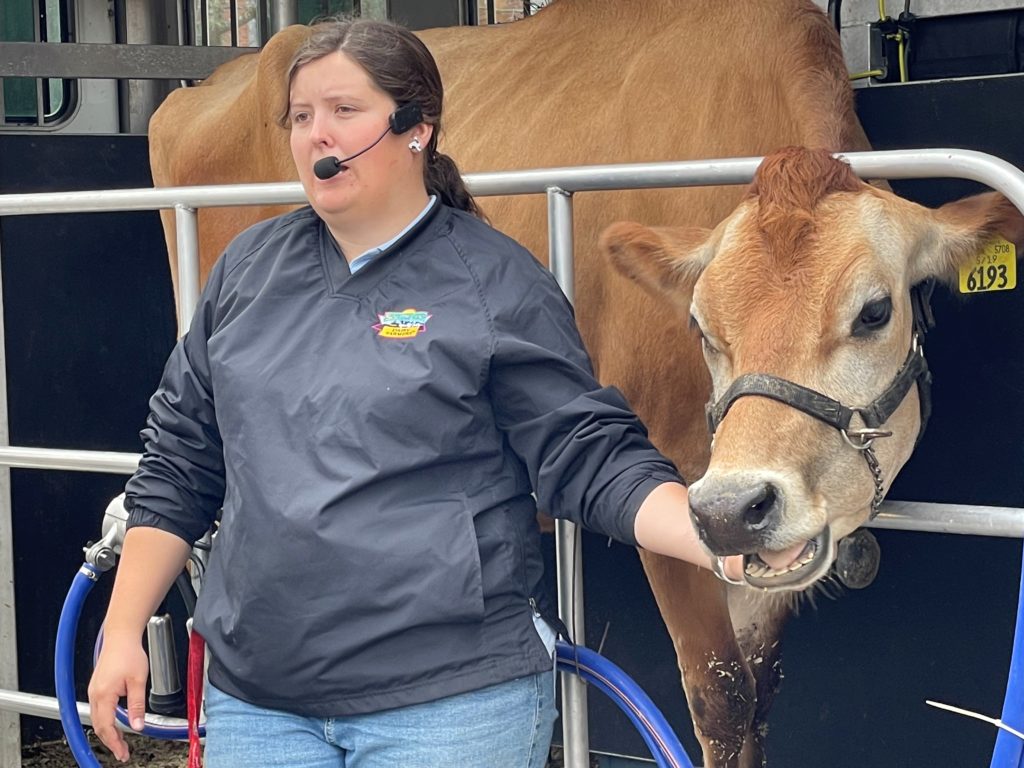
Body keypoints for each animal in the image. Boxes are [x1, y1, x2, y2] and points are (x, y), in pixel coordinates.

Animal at [146, 3, 1024, 765]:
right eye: (699, 325)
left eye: (875, 310)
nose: (735, 507)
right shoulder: (679, 484)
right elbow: (720, 698)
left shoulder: (769, 551)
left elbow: (760, 695)